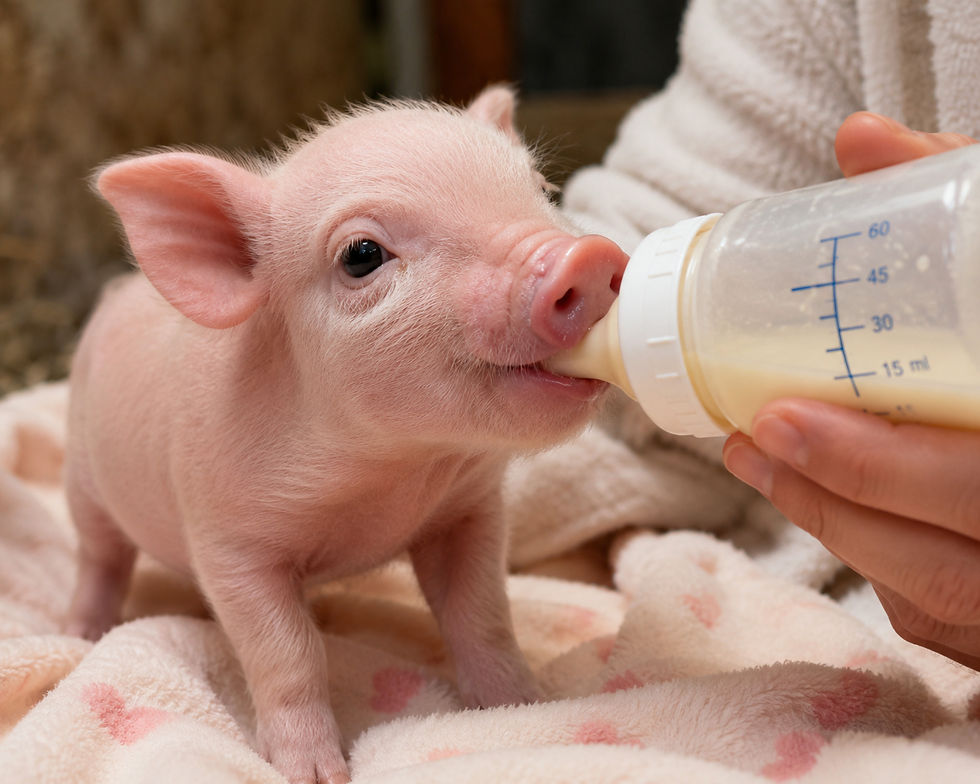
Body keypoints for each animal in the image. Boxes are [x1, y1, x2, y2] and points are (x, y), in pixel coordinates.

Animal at [64, 86, 627, 784]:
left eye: (543, 190)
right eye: (361, 254)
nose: (589, 257)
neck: (384, 474)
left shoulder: (467, 512)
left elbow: (481, 613)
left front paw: (525, 707)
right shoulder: (228, 542)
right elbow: (287, 651)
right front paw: (314, 773)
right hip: (81, 476)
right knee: (100, 557)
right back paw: (83, 634)